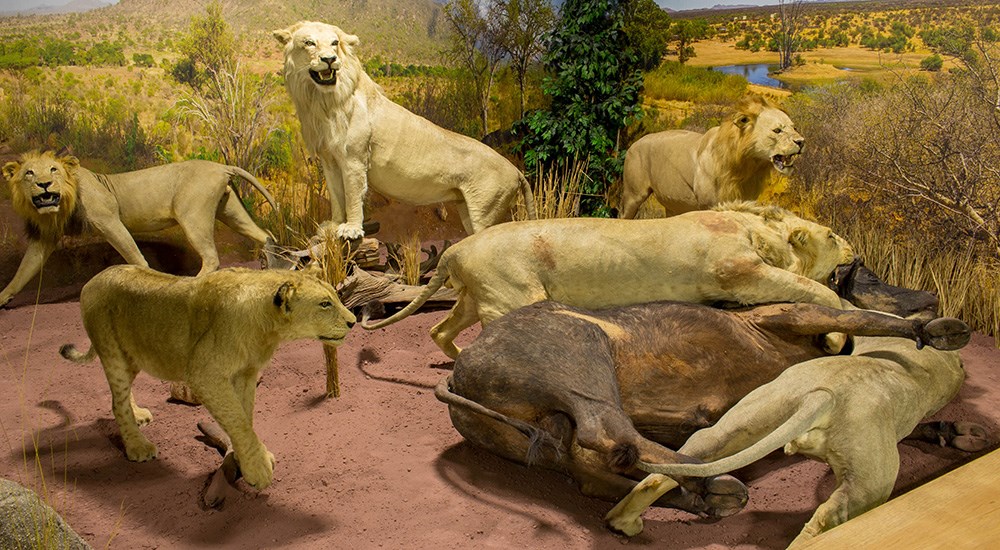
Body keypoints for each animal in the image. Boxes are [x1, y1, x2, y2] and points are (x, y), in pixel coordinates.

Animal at [0, 151, 282, 310]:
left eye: (53, 169)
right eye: (29, 173)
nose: (44, 184)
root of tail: (222, 166)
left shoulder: (109, 220)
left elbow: (134, 255)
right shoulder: (45, 238)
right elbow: (24, 269)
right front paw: (3, 298)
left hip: (192, 215)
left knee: (211, 256)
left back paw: (191, 285)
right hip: (230, 209)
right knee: (264, 234)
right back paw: (271, 263)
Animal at [60, 268, 358, 492]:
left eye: (335, 296)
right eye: (324, 304)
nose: (353, 321)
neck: (267, 328)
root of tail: (93, 279)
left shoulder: (245, 373)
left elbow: (244, 417)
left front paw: (241, 458)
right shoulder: (205, 374)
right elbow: (238, 419)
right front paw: (258, 468)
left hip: (132, 356)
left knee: (120, 394)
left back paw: (138, 415)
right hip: (113, 352)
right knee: (116, 401)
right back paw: (138, 446)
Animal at [274, 20, 536, 240]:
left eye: (334, 43)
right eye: (309, 43)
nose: (329, 59)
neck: (323, 101)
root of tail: (516, 171)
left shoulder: (354, 159)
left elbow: (352, 196)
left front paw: (351, 229)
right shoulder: (329, 159)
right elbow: (337, 196)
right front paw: (331, 226)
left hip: (485, 213)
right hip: (468, 210)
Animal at [624, 97, 804, 220]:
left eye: (794, 128)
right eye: (777, 130)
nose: (801, 142)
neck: (746, 168)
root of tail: (634, 143)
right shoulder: (708, 205)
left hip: (673, 203)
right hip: (633, 196)